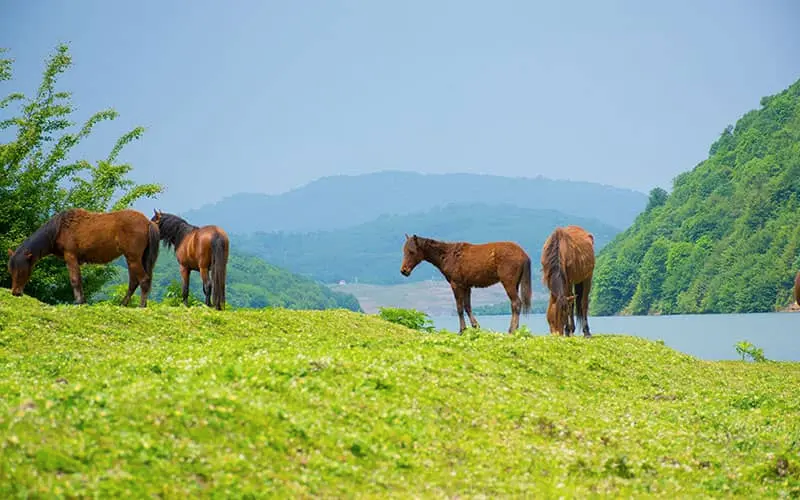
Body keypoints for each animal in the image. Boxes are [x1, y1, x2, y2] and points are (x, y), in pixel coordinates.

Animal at [5, 207, 159, 304]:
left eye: (22, 271)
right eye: (11, 271)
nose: (16, 292)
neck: (60, 228)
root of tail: (148, 222)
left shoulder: (70, 256)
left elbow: (75, 280)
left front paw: (78, 301)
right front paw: (82, 301)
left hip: (133, 258)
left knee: (144, 280)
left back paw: (141, 306)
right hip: (134, 258)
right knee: (134, 282)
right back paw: (123, 304)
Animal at [400, 233, 532, 332]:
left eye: (411, 251)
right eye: (404, 251)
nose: (404, 271)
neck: (448, 255)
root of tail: (523, 254)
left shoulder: (456, 284)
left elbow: (459, 308)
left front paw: (462, 330)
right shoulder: (466, 286)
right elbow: (467, 306)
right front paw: (475, 326)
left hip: (508, 283)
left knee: (516, 303)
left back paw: (512, 330)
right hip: (515, 284)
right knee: (514, 305)